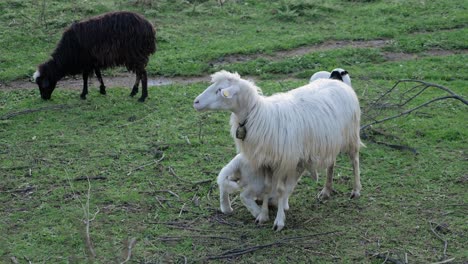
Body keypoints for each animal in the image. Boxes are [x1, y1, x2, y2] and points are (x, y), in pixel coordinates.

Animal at [194, 70, 362, 231]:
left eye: (219, 90)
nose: (195, 102)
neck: (257, 115)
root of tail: (337, 81)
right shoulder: (267, 163)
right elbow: (268, 188)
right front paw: (263, 215)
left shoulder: (285, 163)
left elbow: (281, 190)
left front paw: (279, 221)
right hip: (331, 141)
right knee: (331, 163)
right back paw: (326, 191)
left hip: (351, 134)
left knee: (354, 160)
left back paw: (356, 190)